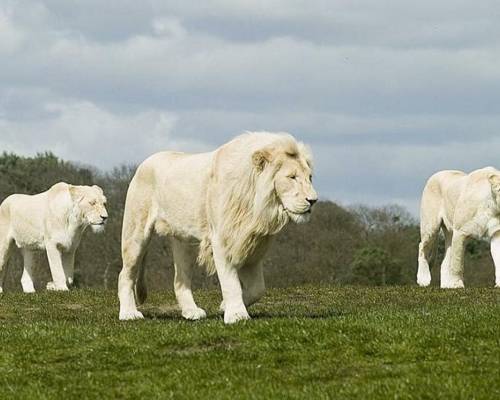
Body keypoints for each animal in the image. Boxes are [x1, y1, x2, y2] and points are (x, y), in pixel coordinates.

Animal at [119, 133, 318, 324]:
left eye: (309, 177)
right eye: (292, 177)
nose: (313, 200)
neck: (258, 206)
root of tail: (144, 163)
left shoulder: (251, 243)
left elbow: (258, 289)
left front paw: (224, 306)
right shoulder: (224, 238)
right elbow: (231, 282)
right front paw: (236, 315)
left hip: (184, 240)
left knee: (180, 280)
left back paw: (191, 312)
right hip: (136, 232)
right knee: (125, 275)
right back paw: (129, 314)